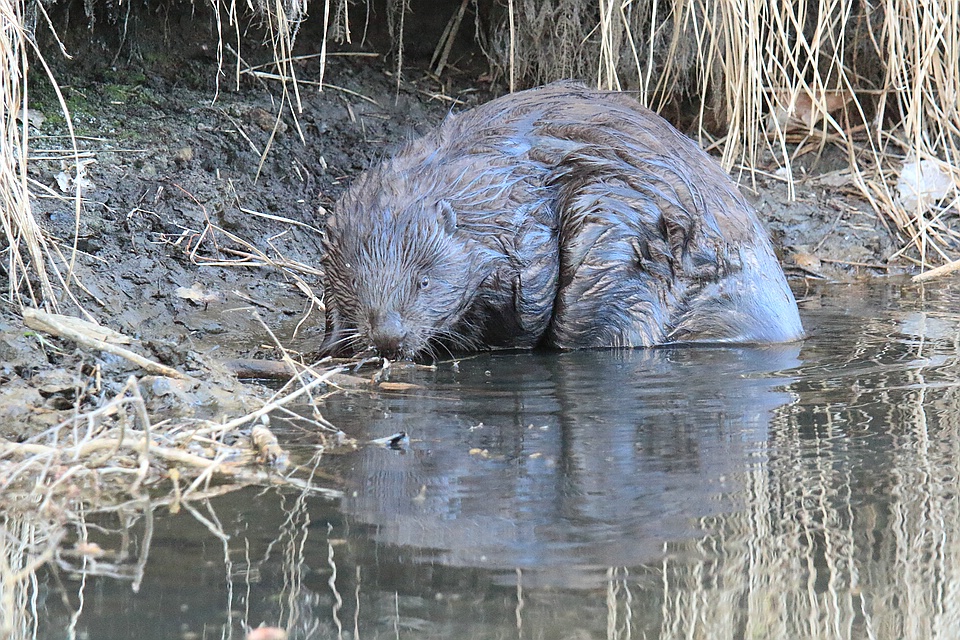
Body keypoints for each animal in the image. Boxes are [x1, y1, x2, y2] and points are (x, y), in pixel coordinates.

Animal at [322, 81, 804, 360]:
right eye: (355, 279)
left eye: (423, 281)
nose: (389, 337)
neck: (481, 186)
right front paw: (332, 346)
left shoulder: (527, 226)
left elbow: (527, 305)